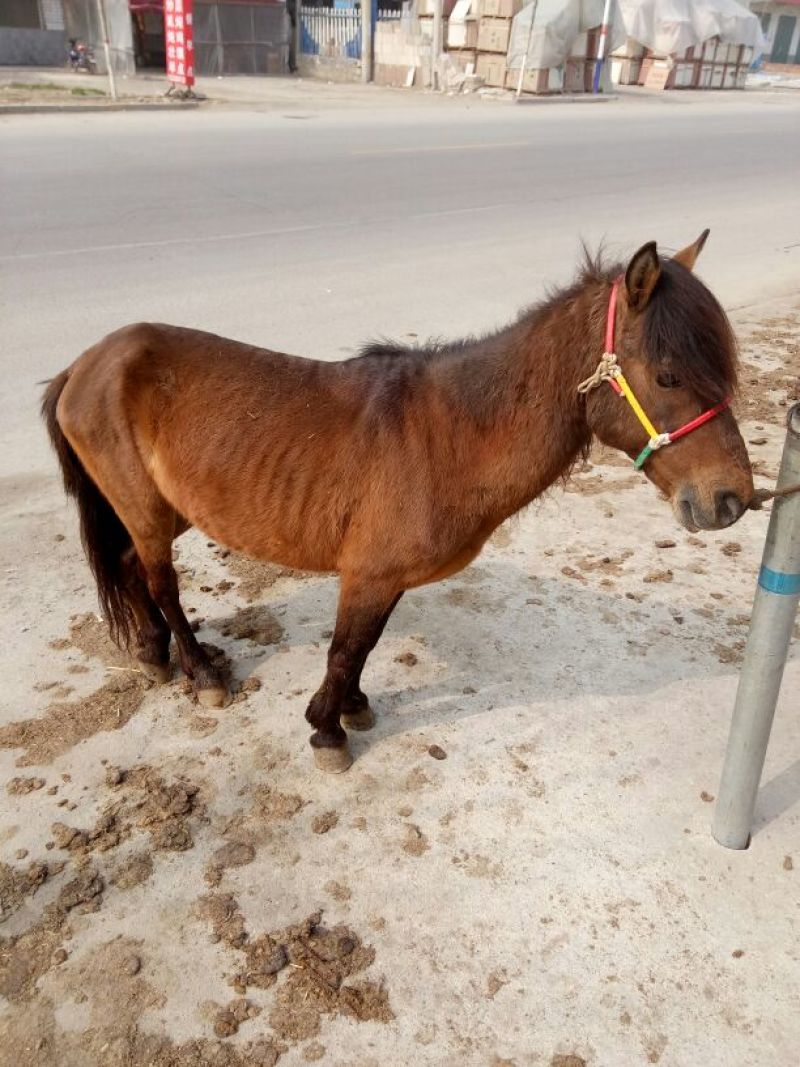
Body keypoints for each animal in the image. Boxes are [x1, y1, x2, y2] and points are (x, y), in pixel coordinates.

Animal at [42, 233, 754, 773]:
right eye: (667, 375)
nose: (732, 499)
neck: (449, 435)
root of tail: (86, 362)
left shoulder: (385, 578)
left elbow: (366, 646)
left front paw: (352, 707)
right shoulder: (367, 574)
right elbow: (344, 648)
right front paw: (327, 730)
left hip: (165, 510)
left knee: (131, 569)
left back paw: (155, 656)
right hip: (147, 509)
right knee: (159, 580)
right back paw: (200, 671)